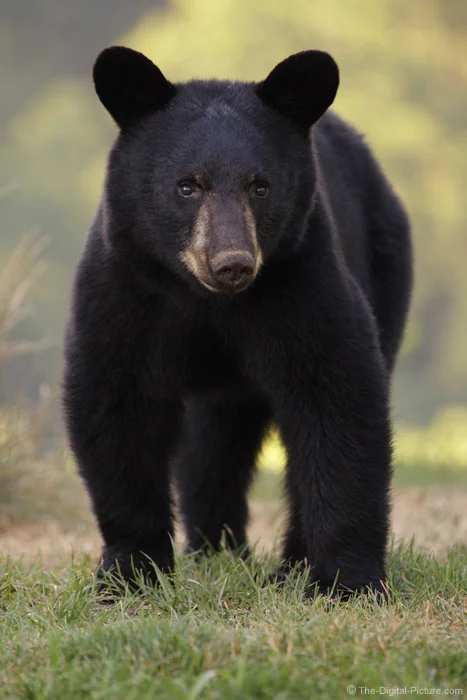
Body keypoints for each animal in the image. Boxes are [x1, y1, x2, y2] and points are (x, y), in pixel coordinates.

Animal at [63, 47, 414, 596]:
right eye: (187, 186)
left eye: (260, 186)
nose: (232, 263)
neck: (209, 302)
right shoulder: (126, 292)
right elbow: (117, 406)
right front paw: (128, 571)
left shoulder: (302, 282)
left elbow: (337, 400)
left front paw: (346, 581)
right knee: (214, 443)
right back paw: (215, 550)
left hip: (384, 264)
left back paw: (286, 564)